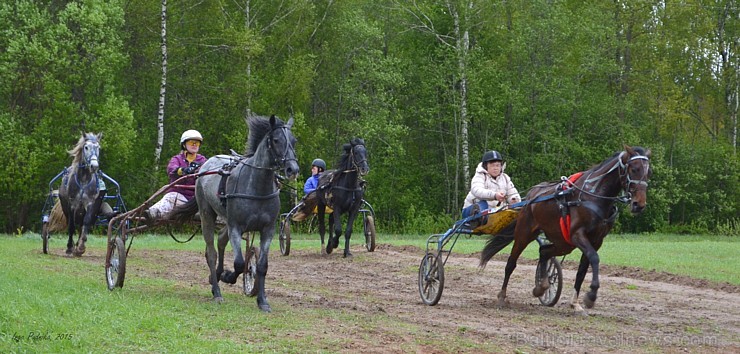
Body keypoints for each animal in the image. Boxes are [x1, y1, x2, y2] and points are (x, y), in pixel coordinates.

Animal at [172, 115, 300, 312]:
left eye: (293, 141)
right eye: (276, 140)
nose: (292, 169)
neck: (257, 187)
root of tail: (205, 166)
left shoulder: (268, 229)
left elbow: (262, 265)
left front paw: (262, 301)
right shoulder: (236, 227)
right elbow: (239, 263)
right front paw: (228, 276)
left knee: (221, 240)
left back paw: (215, 277)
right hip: (207, 215)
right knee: (211, 252)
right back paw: (217, 291)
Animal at [480, 144, 648, 316]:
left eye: (649, 172)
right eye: (634, 169)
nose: (638, 204)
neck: (594, 195)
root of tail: (531, 197)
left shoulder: (596, 240)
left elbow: (582, 270)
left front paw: (575, 303)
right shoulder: (578, 235)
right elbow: (594, 258)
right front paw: (591, 295)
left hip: (563, 243)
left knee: (544, 252)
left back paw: (542, 286)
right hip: (524, 234)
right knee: (511, 263)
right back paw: (502, 296)